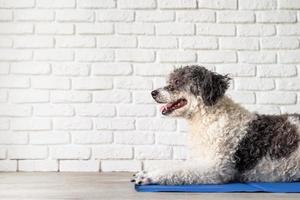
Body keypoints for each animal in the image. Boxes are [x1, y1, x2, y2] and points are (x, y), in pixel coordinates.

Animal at [131, 66, 300, 185]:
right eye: (170, 81)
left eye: (178, 82)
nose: (153, 92)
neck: (208, 118)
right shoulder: (199, 158)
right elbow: (174, 166)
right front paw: (147, 171)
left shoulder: (215, 169)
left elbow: (179, 172)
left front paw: (150, 176)